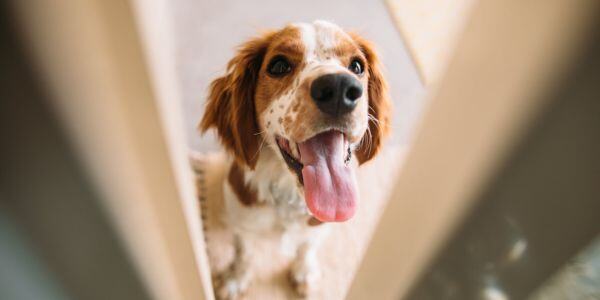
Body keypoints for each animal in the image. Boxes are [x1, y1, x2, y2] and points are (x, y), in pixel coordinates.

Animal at [199, 19, 392, 298]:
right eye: (278, 65)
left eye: (357, 66)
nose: (339, 88)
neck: (288, 194)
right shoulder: (242, 218)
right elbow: (244, 251)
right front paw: (235, 278)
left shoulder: (318, 226)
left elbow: (307, 246)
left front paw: (304, 272)